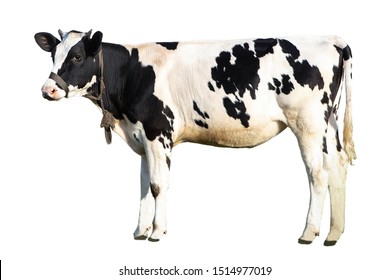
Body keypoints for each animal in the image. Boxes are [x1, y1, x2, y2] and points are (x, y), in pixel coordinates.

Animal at [35, 29, 354, 246]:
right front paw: (140, 231)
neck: (131, 72)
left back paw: (309, 233)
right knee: (337, 167)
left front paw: (157, 232)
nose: (48, 89)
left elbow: (157, 185)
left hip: (308, 124)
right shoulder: (142, 137)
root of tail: (331, 39)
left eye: (77, 56)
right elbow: (143, 185)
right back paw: (334, 233)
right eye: (53, 55)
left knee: (317, 174)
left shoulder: (158, 132)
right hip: (328, 125)